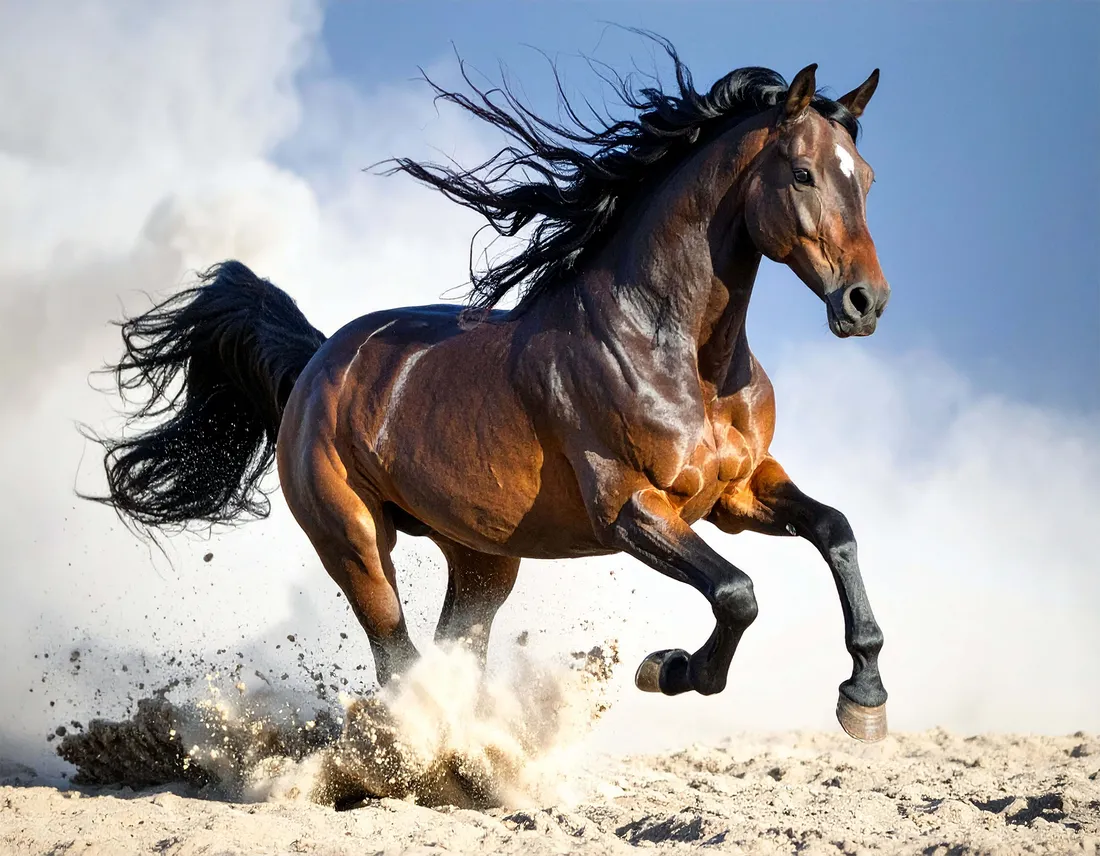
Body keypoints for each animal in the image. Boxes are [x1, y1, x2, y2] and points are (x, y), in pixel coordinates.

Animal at [88, 44, 891, 742]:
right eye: (802, 174)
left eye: (867, 178)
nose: (865, 302)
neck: (676, 353)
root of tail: (318, 361)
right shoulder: (630, 508)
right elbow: (737, 593)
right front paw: (666, 669)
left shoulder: (738, 493)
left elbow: (836, 530)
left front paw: (864, 697)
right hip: (355, 543)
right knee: (398, 661)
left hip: (481, 563)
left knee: (453, 658)